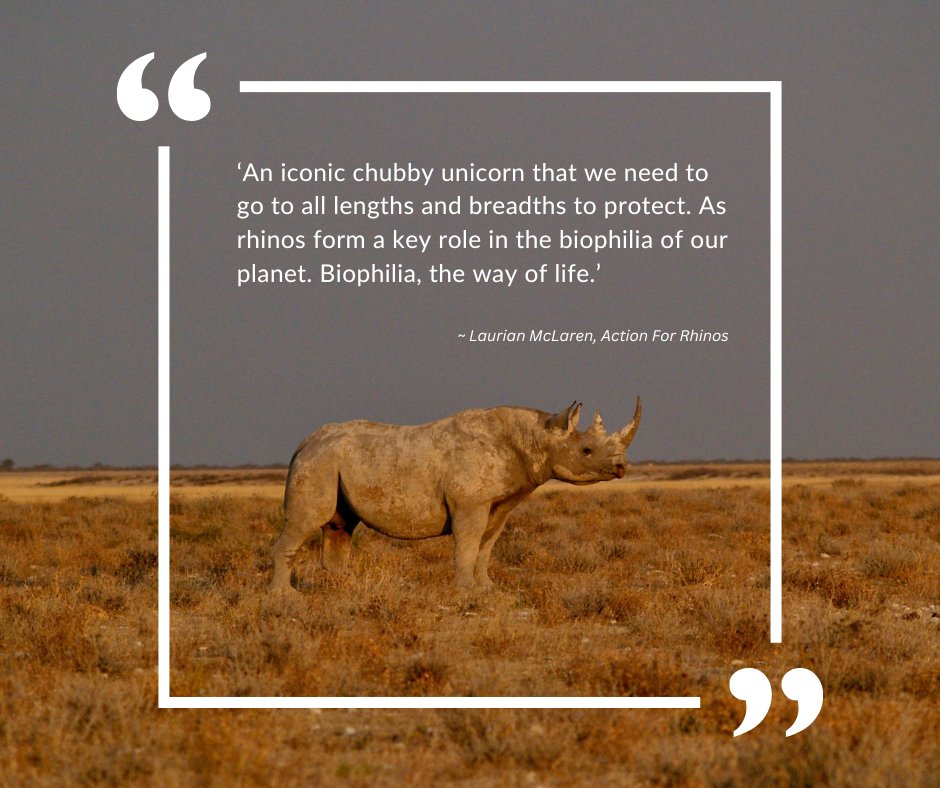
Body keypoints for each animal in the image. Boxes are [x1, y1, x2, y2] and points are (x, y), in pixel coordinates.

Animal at [270, 397, 641, 591]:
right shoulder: (470, 502)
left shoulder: (499, 503)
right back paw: (285, 598)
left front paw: (486, 590)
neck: (536, 438)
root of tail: (303, 442)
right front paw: (464, 592)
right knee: (309, 520)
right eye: (587, 451)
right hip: (317, 462)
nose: (622, 467)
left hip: (330, 460)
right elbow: (467, 543)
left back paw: (343, 588)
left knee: (339, 525)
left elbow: (485, 546)